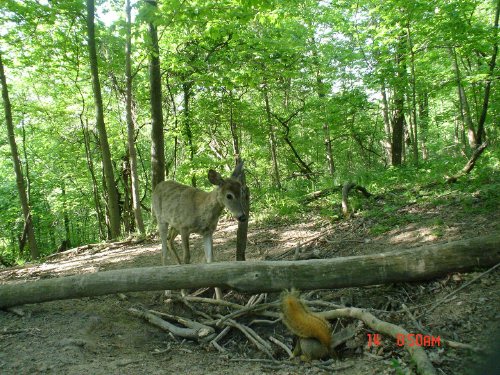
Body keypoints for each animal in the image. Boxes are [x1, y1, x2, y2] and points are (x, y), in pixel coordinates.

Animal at [151, 162, 247, 300]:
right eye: (229, 195)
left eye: (242, 192)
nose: (242, 216)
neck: (200, 211)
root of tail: (157, 186)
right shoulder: (184, 227)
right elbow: (187, 257)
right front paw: (184, 293)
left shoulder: (208, 232)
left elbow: (211, 260)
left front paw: (220, 298)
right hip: (161, 219)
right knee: (163, 248)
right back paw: (168, 291)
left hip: (174, 224)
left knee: (169, 240)